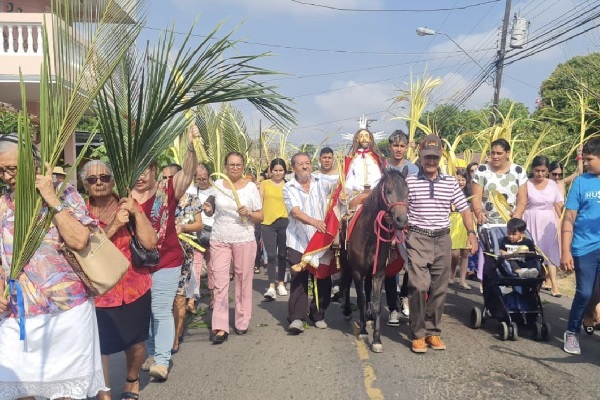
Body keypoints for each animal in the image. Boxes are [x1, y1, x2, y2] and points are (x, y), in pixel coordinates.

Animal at [340, 166, 410, 354]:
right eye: (388, 191)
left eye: (408, 192)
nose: (401, 220)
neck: (369, 235)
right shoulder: (357, 271)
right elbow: (361, 299)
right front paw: (363, 332)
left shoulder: (378, 272)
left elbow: (377, 303)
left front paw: (377, 339)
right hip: (346, 264)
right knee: (346, 283)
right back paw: (348, 311)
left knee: (367, 287)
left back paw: (369, 317)